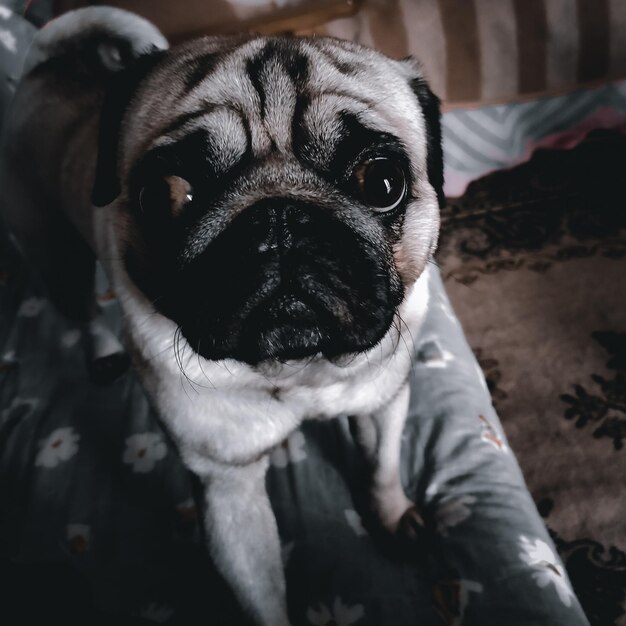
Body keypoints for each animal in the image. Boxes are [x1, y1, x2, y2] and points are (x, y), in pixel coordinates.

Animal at [1, 6, 438, 624]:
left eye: (382, 182)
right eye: (164, 194)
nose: (281, 217)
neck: (297, 368)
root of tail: (46, 65)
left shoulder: (383, 401)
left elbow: (382, 467)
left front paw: (392, 516)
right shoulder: (228, 489)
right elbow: (261, 598)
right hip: (51, 249)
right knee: (81, 304)